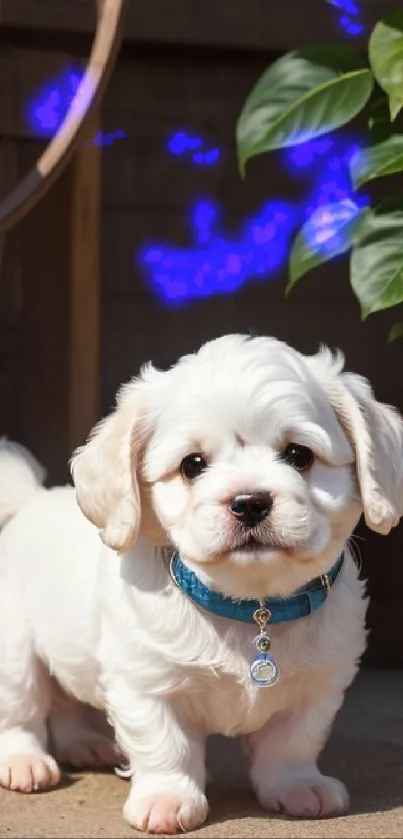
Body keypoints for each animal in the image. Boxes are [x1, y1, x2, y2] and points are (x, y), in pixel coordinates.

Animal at [0, 334, 403, 832]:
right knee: (21, 713)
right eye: (192, 465)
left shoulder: (319, 683)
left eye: (299, 455)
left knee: (69, 703)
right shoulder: (146, 682)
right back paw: (24, 762)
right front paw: (168, 799)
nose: (249, 502)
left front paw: (296, 786)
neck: (251, 610)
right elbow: (166, 745)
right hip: (15, 657)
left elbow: (293, 742)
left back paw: (85, 745)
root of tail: (28, 501)